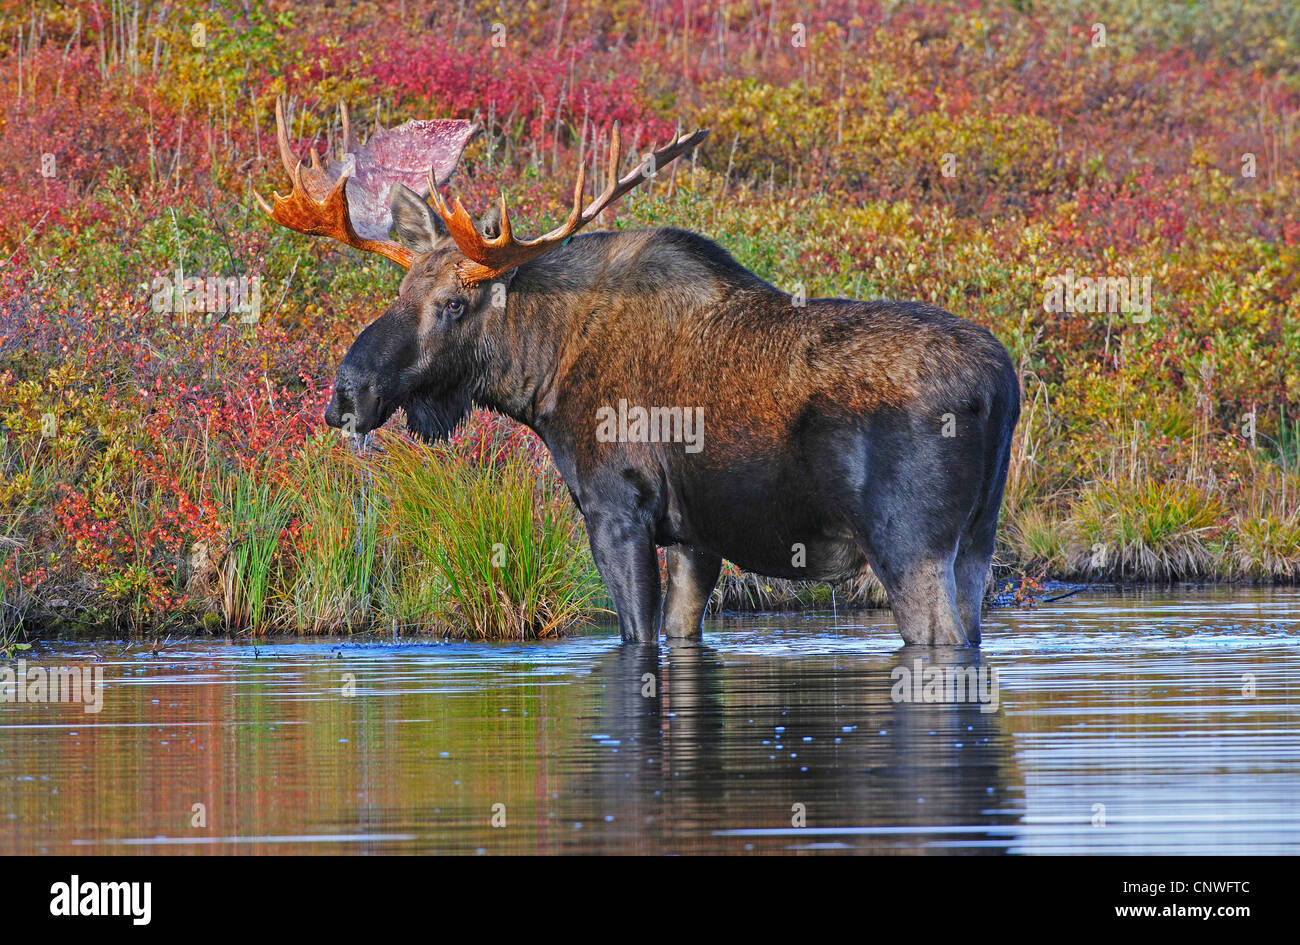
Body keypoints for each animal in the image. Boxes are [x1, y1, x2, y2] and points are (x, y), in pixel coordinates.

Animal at [258, 105, 1019, 649]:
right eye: (399, 292)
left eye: (452, 304)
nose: (347, 393)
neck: (543, 379)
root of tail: (1000, 387)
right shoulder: (693, 537)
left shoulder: (616, 509)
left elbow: (634, 636)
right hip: (978, 540)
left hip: (910, 542)